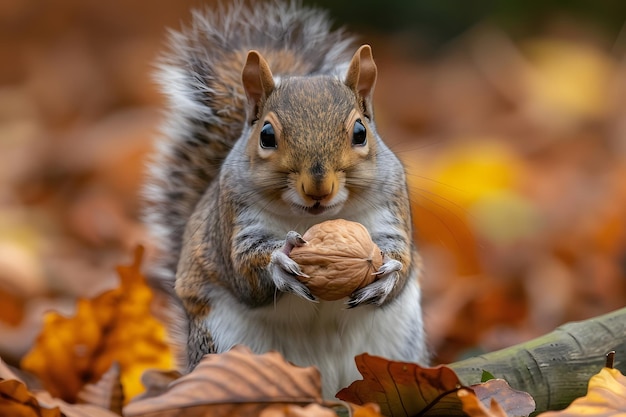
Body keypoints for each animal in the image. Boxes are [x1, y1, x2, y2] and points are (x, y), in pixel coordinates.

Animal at [145, 0, 428, 396]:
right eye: (266, 136)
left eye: (360, 132)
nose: (318, 187)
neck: (314, 219)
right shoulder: (234, 219)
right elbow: (245, 271)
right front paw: (278, 260)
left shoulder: (391, 211)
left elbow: (400, 258)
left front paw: (387, 273)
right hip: (226, 343)